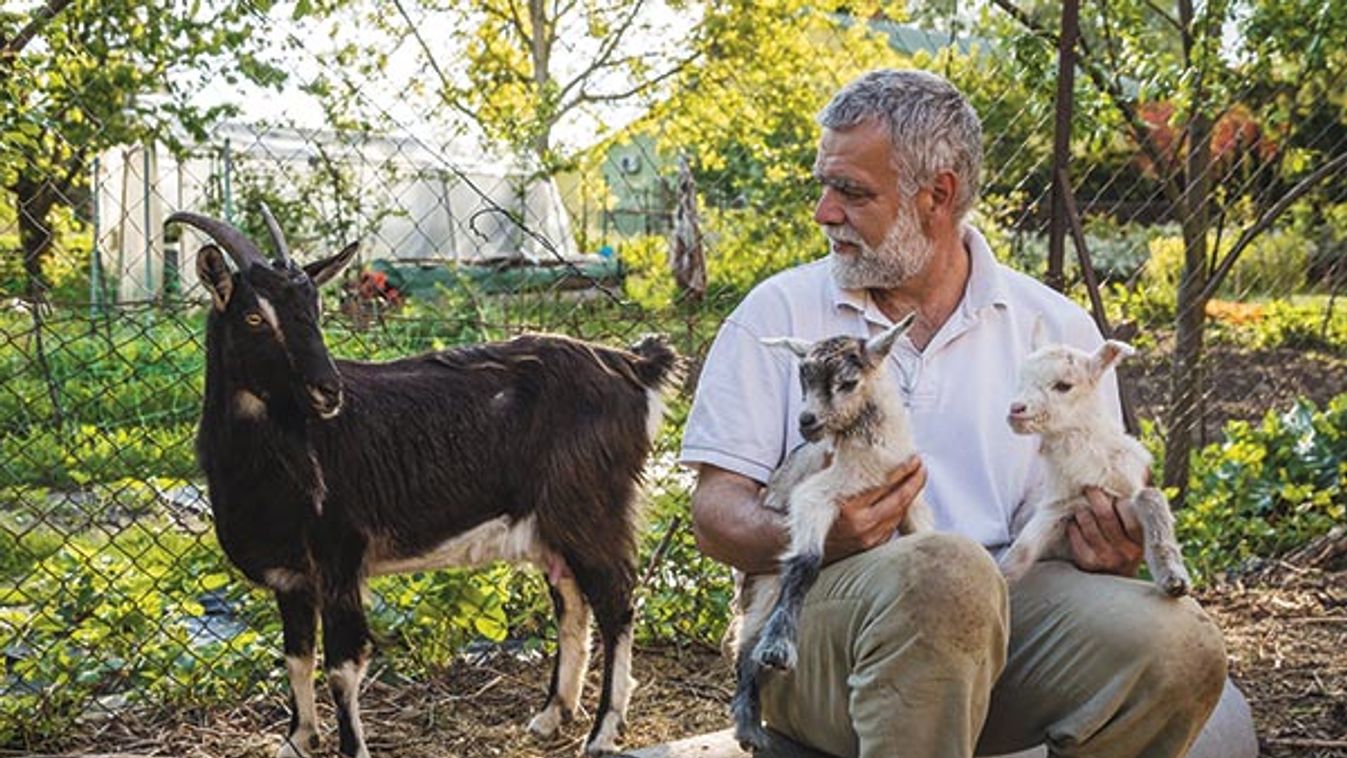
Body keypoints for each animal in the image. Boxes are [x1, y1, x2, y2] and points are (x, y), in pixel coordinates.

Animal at [168, 208, 673, 758]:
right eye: (255, 317)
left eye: (315, 310)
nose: (328, 391)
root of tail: (635, 368)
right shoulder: (292, 577)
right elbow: (296, 658)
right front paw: (297, 740)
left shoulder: (340, 557)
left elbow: (342, 667)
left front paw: (350, 748)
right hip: (553, 526)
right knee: (572, 603)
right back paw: (551, 715)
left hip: (593, 508)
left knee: (617, 604)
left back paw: (603, 731)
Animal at [727, 316, 937, 753]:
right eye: (802, 379)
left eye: (848, 382)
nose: (806, 421)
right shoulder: (817, 494)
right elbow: (805, 562)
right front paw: (780, 647)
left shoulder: (909, 497)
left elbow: (924, 535)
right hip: (763, 587)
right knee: (745, 644)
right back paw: (750, 720)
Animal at [1002, 339, 1190, 600]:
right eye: (1021, 379)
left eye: (1064, 385)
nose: (1016, 409)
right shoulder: (1055, 510)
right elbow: (1019, 554)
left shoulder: (1125, 492)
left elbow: (1150, 498)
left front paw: (1173, 578)